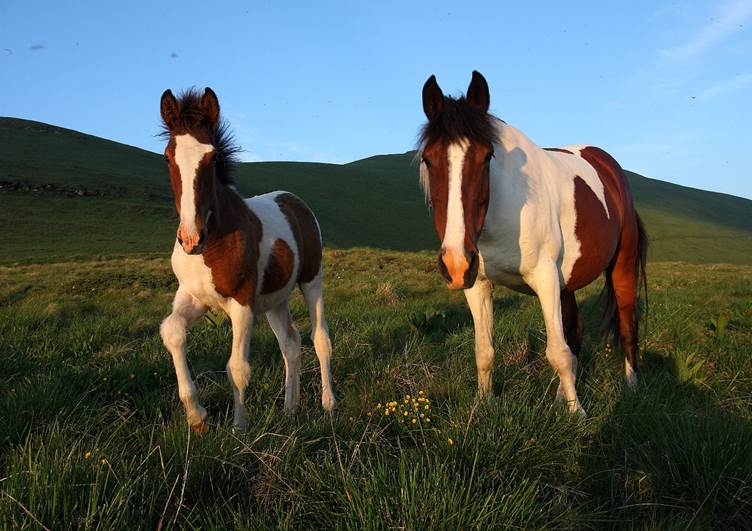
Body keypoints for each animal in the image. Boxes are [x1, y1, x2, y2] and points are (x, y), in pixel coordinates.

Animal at [159, 87, 336, 433]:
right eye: (168, 156)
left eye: (213, 157)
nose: (190, 238)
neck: (212, 243)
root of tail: (294, 200)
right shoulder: (194, 296)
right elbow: (171, 330)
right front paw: (197, 417)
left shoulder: (241, 302)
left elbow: (237, 367)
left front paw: (239, 428)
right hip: (274, 300)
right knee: (291, 344)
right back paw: (290, 409)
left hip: (312, 280)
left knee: (320, 338)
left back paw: (329, 405)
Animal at [417, 71, 647, 417]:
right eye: (428, 159)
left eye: (486, 156)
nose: (456, 263)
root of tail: (610, 168)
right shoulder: (478, 283)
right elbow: (484, 351)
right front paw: (483, 405)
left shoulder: (544, 277)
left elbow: (557, 352)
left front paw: (578, 415)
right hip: (565, 283)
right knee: (574, 331)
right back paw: (562, 394)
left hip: (621, 267)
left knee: (625, 326)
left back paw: (632, 386)